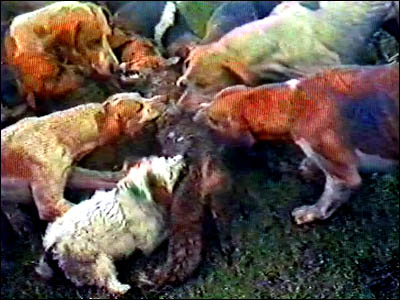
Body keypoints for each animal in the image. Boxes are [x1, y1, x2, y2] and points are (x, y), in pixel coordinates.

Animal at [0, 92, 166, 221]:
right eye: (139, 107)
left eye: (141, 95)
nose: (164, 99)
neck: (58, 133)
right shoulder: (50, 206)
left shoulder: (73, 175)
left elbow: (101, 178)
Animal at [35, 155, 185, 296]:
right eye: (170, 171)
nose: (182, 158)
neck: (142, 195)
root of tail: (52, 241)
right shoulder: (149, 241)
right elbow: (164, 232)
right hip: (99, 261)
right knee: (105, 280)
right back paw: (120, 288)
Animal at [202, 62, 398, 223]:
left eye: (212, 119)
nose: (200, 108)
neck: (294, 102)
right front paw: (308, 166)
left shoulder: (340, 171)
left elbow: (329, 196)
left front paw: (308, 213)